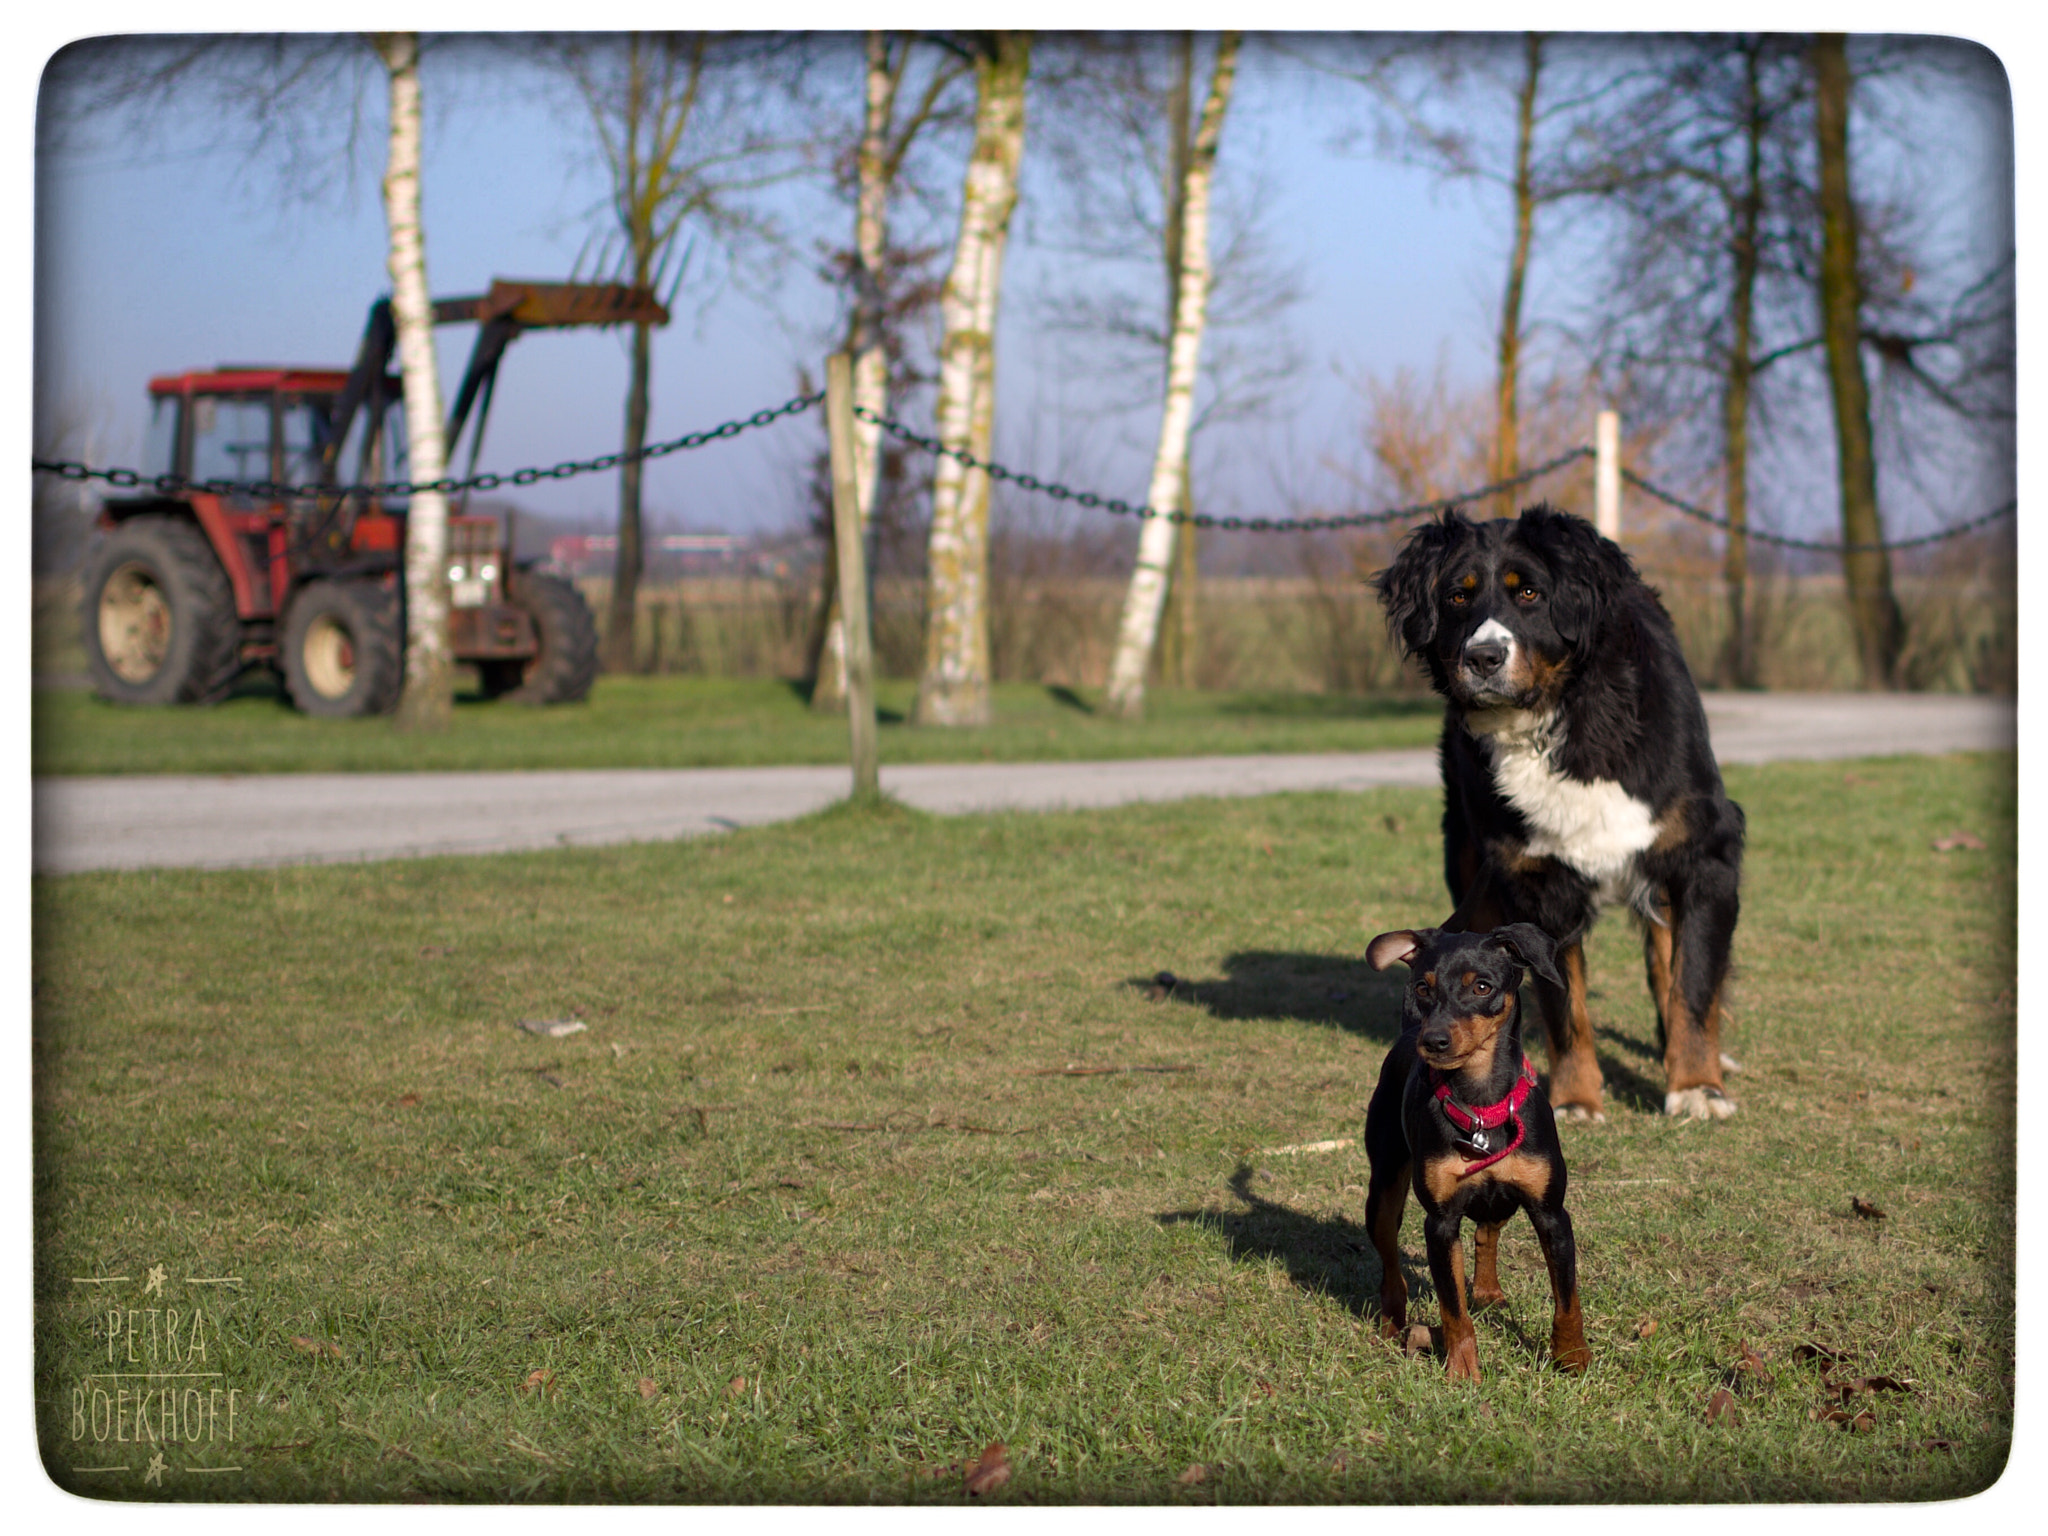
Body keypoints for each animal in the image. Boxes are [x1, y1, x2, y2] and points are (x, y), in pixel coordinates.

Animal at [1368, 921, 1589, 1392]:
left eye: (1482, 986)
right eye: (1423, 987)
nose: (1433, 1040)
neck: (1482, 1104)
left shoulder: (1551, 1213)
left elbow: (1567, 1298)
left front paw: (1572, 1358)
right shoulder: (1440, 1222)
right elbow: (1452, 1308)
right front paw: (1462, 1367)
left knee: (1488, 1232)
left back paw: (1487, 1291)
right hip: (1383, 1187)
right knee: (1390, 1258)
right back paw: (1393, 1318)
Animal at [1376, 505, 1744, 1122]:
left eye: (1529, 592)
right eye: (1457, 596)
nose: (1483, 657)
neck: (1557, 723)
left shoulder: (1701, 855)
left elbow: (1691, 984)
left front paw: (1697, 1086)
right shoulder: (1534, 881)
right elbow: (1562, 1003)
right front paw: (1575, 1099)